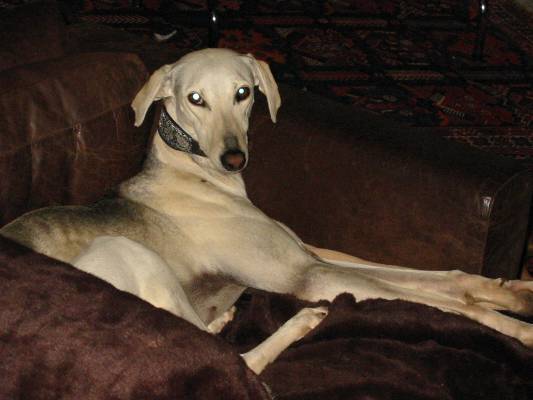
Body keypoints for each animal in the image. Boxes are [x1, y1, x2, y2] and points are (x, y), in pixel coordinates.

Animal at [2, 48, 533, 371]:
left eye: (243, 92)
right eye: (195, 99)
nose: (234, 158)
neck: (195, 175)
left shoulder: (309, 254)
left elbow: (435, 278)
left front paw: (512, 290)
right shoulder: (307, 276)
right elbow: (443, 304)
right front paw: (516, 329)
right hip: (125, 250)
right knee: (238, 360)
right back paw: (298, 322)